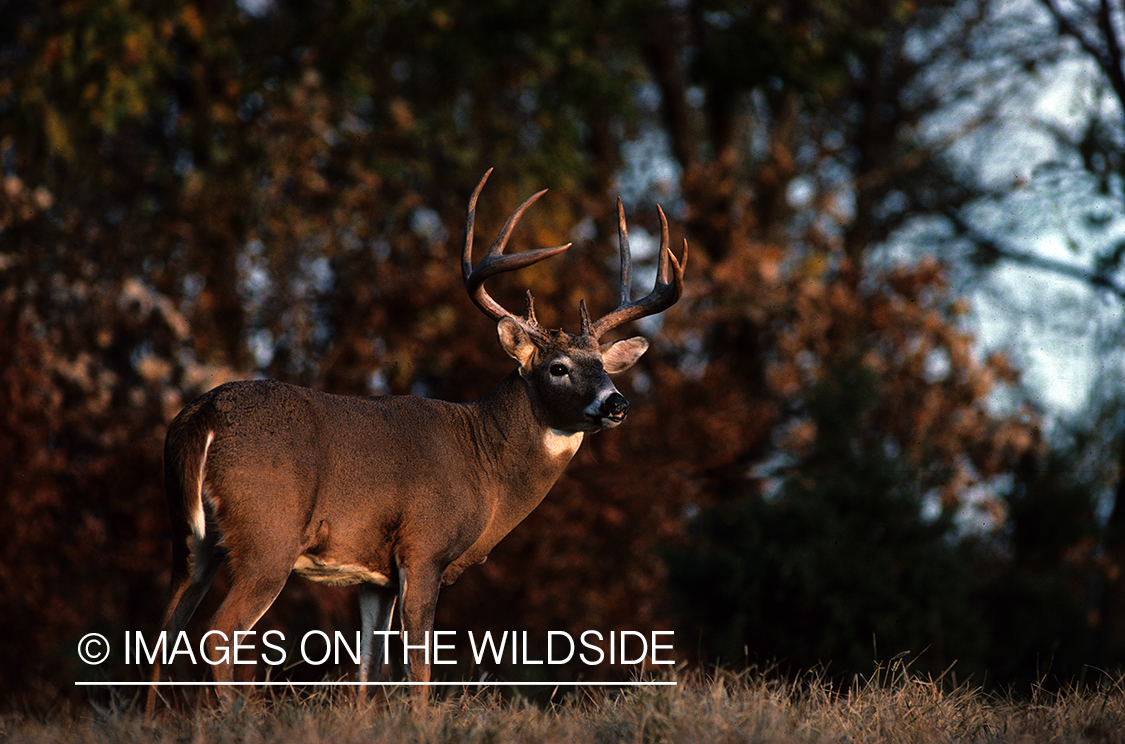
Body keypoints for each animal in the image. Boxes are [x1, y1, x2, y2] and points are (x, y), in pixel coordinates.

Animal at [145, 169, 679, 706]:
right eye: (558, 368)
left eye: (603, 366)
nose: (616, 403)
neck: (483, 461)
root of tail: (203, 415)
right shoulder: (424, 548)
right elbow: (418, 668)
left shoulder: (375, 575)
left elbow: (368, 670)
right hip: (266, 534)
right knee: (218, 631)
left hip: (188, 538)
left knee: (164, 630)